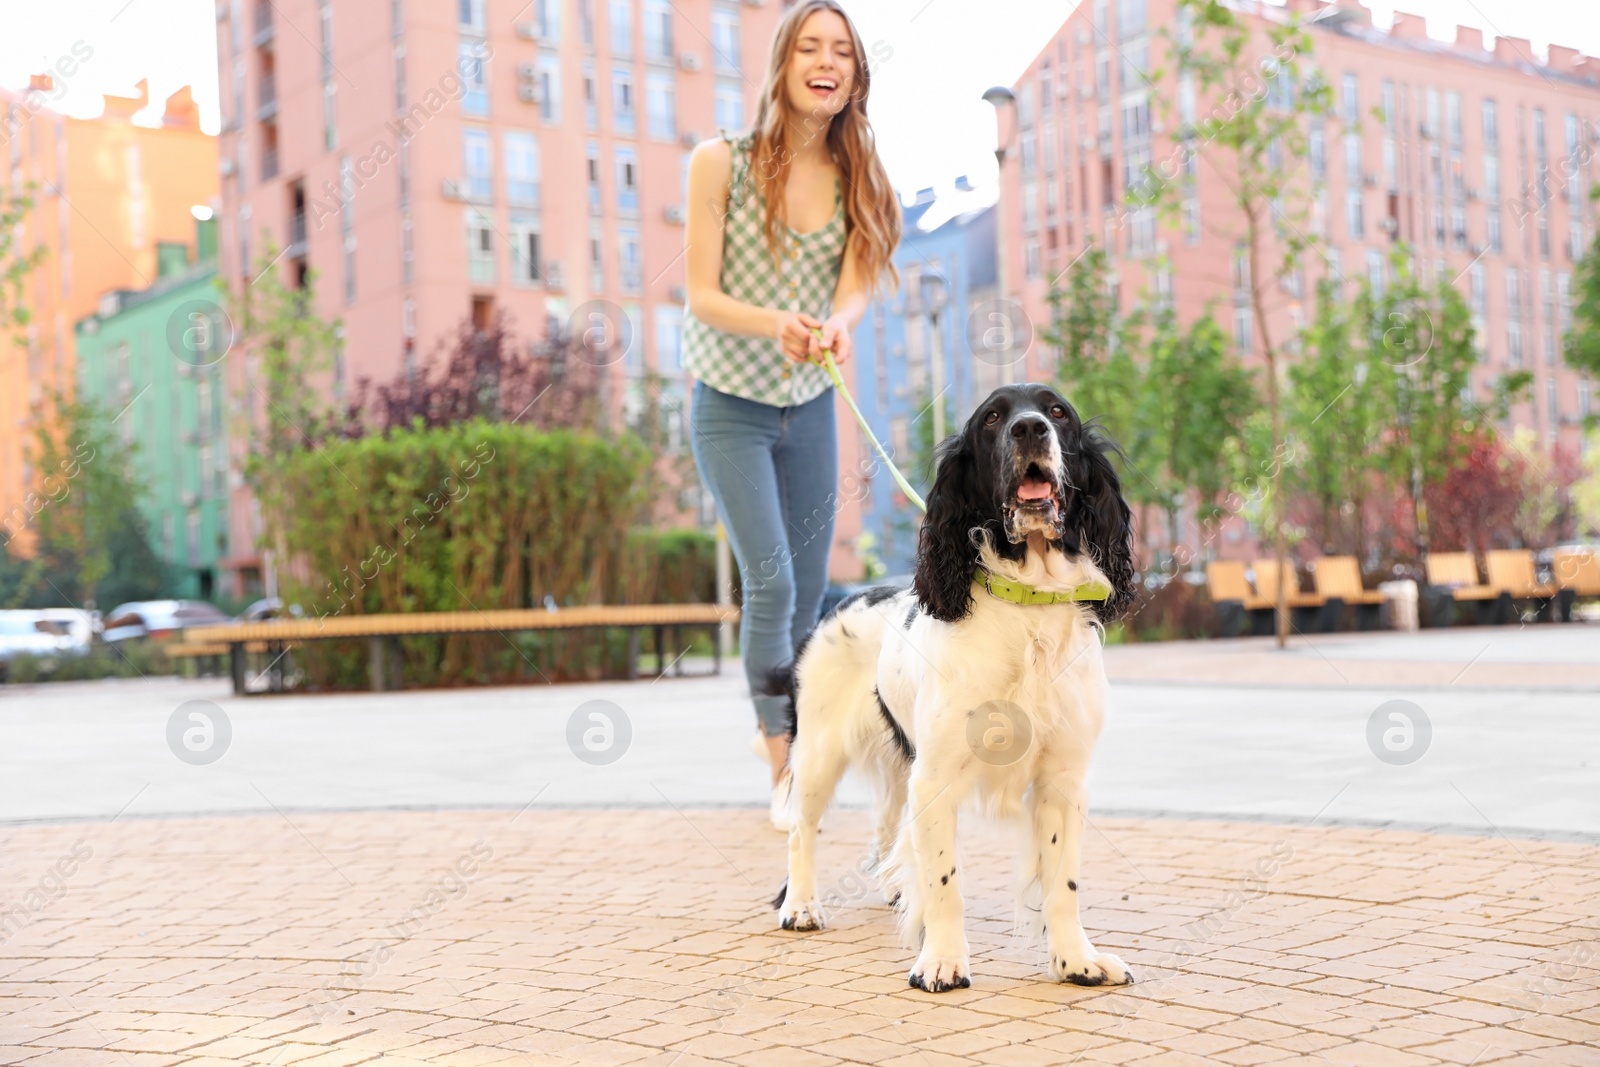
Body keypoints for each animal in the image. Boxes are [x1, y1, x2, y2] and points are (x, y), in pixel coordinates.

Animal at [764, 382, 1132, 991]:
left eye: (1058, 412)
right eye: (993, 418)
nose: (1029, 429)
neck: (1028, 608)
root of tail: (839, 601)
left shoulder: (1062, 777)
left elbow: (1063, 882)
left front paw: (1076, 958)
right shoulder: (936, 777)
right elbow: (944, 880)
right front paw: (941, 960)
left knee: (887, 824)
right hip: (819, 749)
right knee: (800, 830)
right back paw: (800, 905)